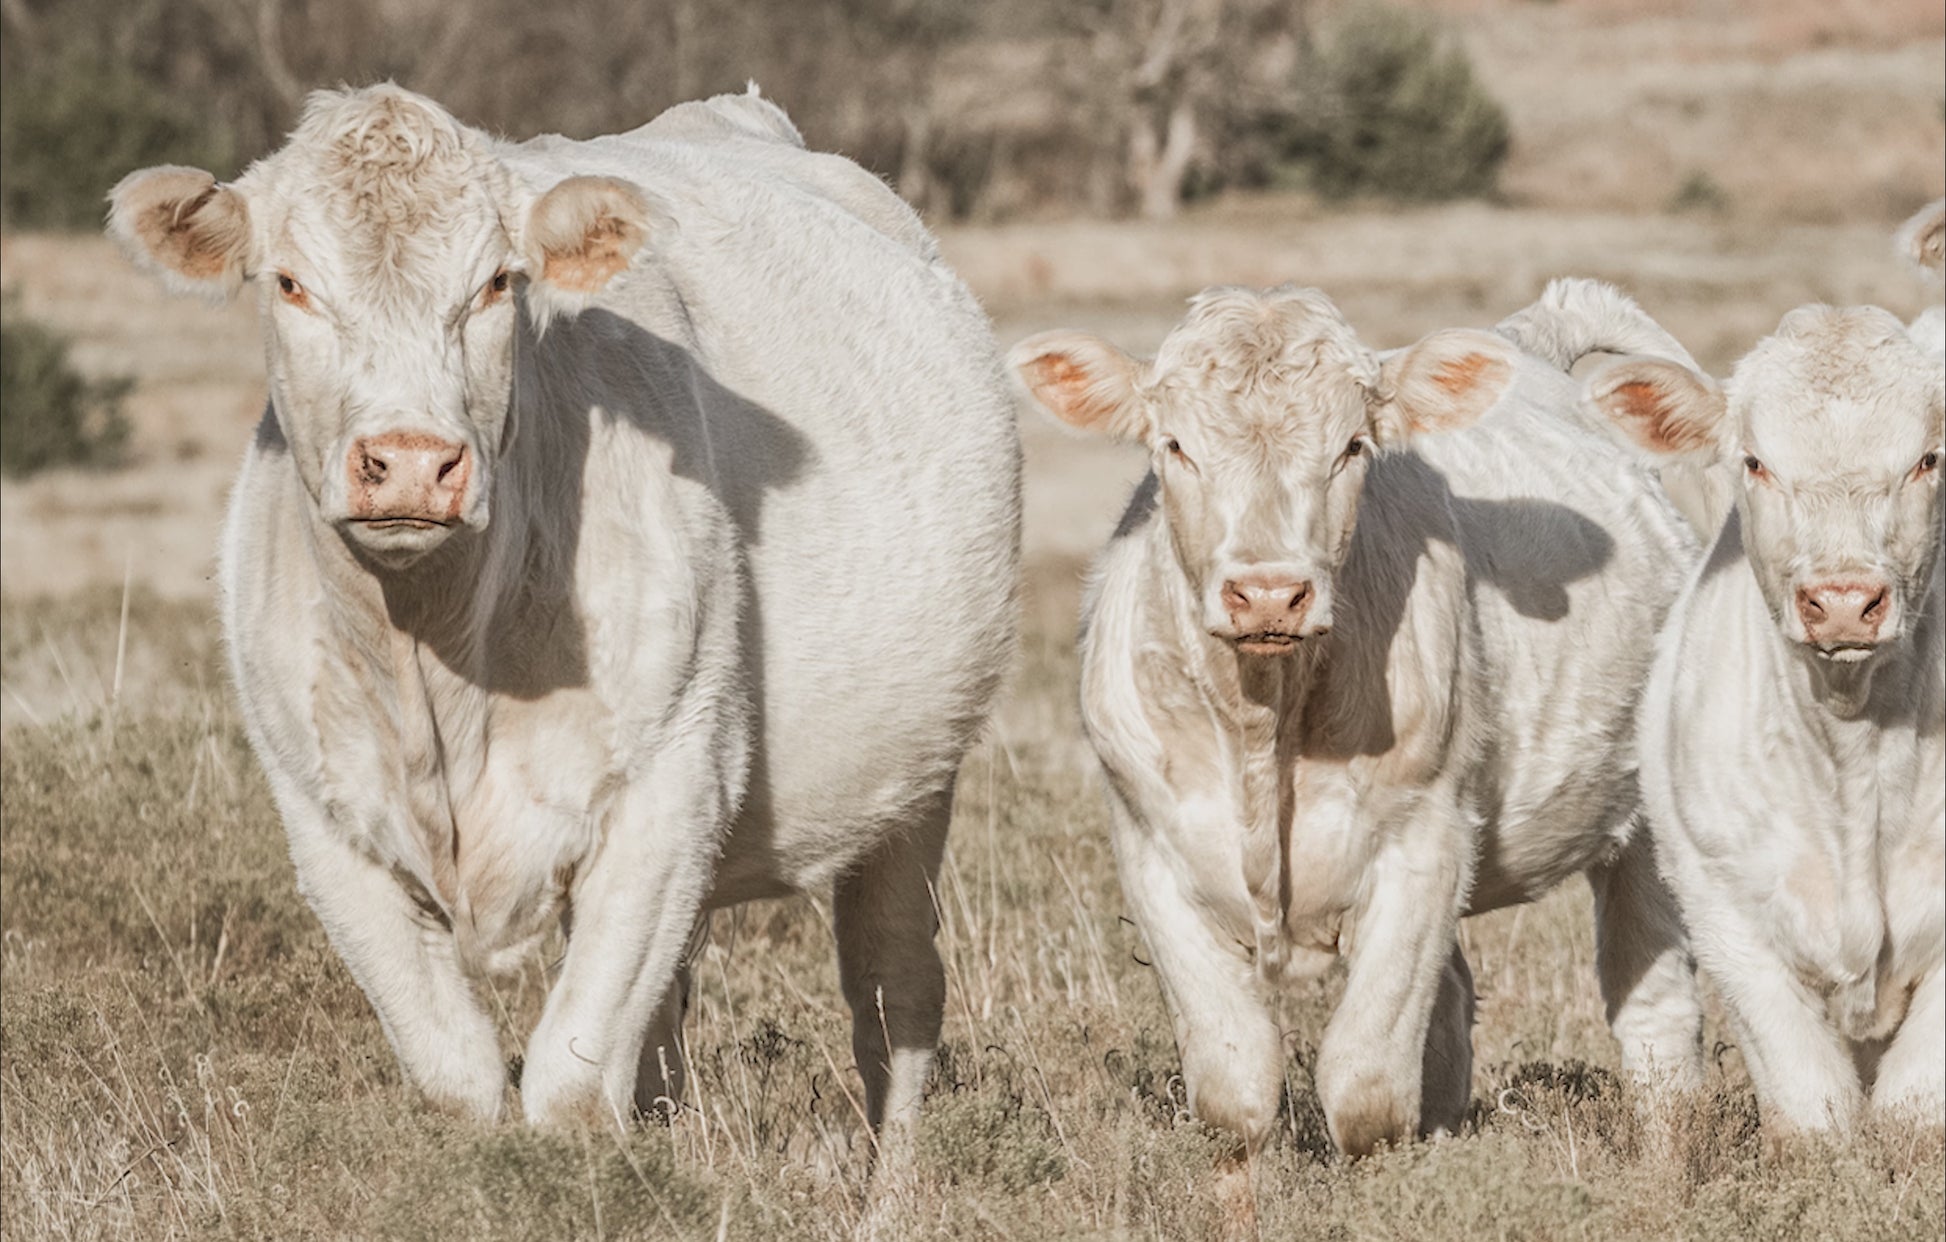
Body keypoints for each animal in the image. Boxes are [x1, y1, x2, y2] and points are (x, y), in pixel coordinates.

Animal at [105, 84, 1022, 1148]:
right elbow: (459, 1080)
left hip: (916, 781)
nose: (409, 461)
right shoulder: (327, 824)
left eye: (499, 284)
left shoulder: (671, 783)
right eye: (290, 283)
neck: (436, 658)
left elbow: (573, 1089)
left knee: (892, 990)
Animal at [1008, 285, 1706, 1166]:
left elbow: (1365, 1088)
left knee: (1654, 1010)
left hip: (1647, 826)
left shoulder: (1424, 842)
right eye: (1174, 445)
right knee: (1451, 1012)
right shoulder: (1149, 849)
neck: (1263, 722)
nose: (1269, 594)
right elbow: (1235, 1087)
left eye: (1351, 447)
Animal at [1555, 206, 1945, 1132]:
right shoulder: (1726, 910)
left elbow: (1916, 1107)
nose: (1843, 600)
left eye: (1927, 460)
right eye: (1756, 462)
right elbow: (1813, 1107)